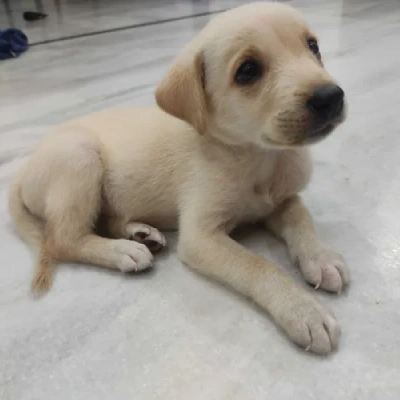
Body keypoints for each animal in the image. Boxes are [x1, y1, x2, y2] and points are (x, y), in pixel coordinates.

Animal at [7, 1, 348, 354]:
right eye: (248, 71)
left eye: (313, 46)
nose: (330, 97)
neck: (258, 156)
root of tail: (24, 169)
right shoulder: (201, 237)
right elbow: (258, 265)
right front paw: (303, 310)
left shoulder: (285, 200)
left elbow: (303, 223)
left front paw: (321, 257)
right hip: (79, 157)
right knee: (64, 239)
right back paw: (123, 251)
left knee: (104, 220)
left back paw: (140, 233)